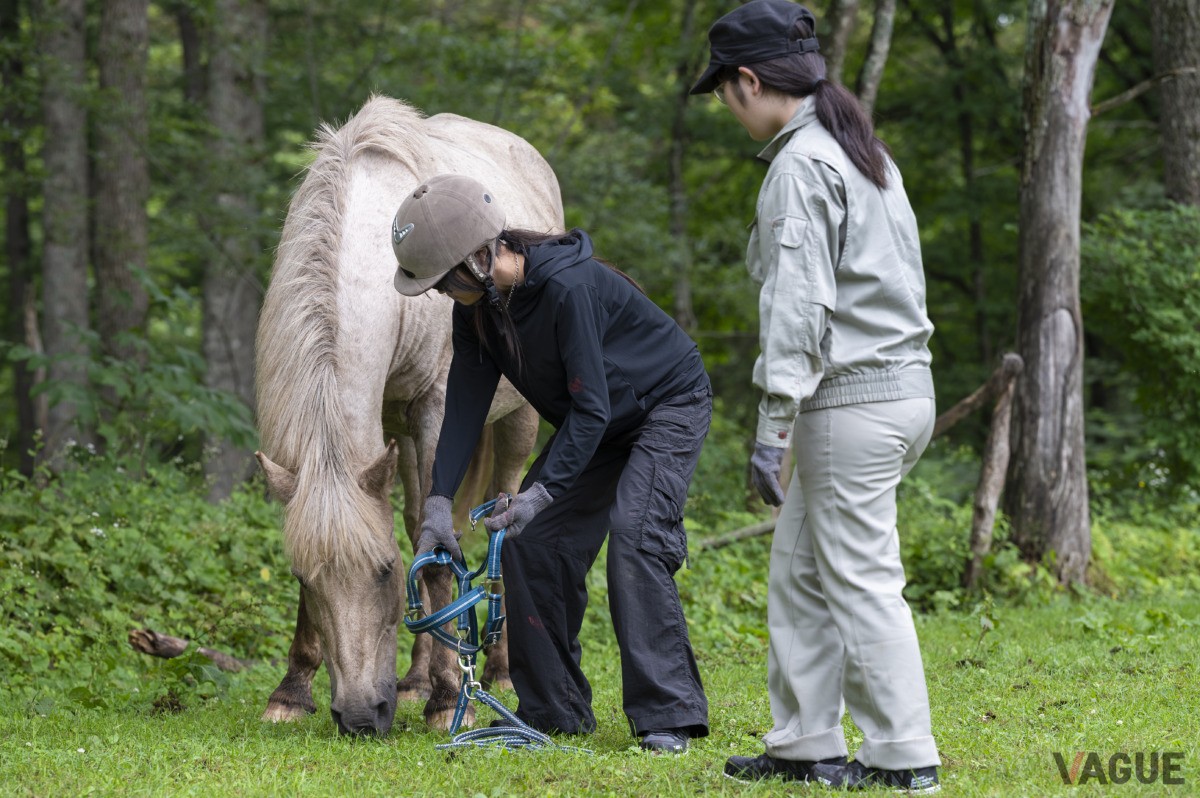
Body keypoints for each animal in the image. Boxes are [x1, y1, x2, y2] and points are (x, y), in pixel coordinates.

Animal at [253, 95, 563, 736]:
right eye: (306, 580)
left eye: (383, 572)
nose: (359, 717)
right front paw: (291, 692)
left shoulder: (437, 411)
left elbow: (437, 553)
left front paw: (449, 700)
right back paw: (417, 679)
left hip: (511, 426)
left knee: (495, 514)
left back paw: (492, 674)